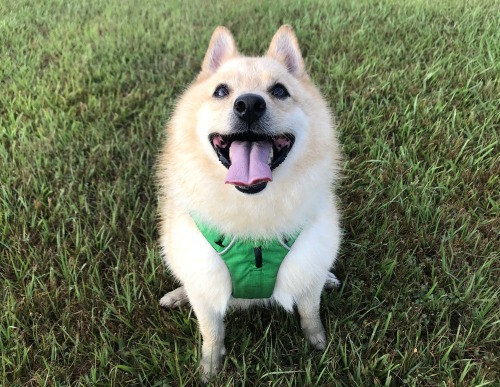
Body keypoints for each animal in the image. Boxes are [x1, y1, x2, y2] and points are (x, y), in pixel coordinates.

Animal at [156, 25, 342, 382]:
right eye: (221, 91)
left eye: (280, 91)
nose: (249, 105)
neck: (253, 213)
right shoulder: (206, 281)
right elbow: (211, 331)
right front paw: (210, 367)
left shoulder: (306, 263)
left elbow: (310, 311)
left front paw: (318, 343)